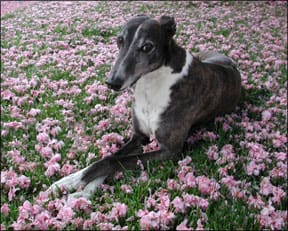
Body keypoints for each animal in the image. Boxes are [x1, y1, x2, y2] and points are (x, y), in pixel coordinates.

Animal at [49, 14, 241, 199]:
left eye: (147, 47)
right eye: (119, 40)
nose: (112, 83)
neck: (152, 82)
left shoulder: (170, 151)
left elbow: (114, 161)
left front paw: (72, 181)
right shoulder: (139, 136)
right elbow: (111, 157)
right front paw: (81, 185)